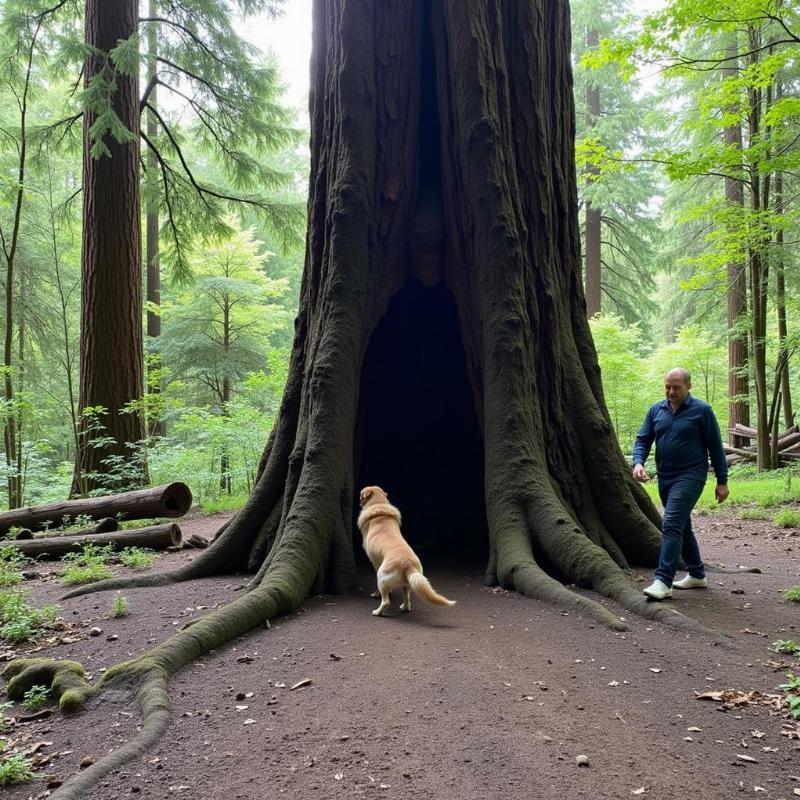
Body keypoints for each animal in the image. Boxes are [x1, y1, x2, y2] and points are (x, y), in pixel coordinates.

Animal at [358, 484, 456, 616]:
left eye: (361, 495)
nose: (359, 500)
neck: (379, 505)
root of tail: (407, 564)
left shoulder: (375, 564)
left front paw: (376, 594)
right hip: (410, 582)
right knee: (407, 598)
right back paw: (404, 607)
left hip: (381, 577)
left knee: (386, 602)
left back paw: (377, 612)